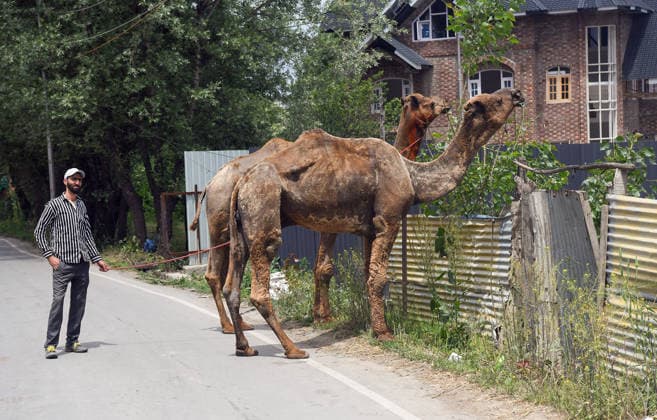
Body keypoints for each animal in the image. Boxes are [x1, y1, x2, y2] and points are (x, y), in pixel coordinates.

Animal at [189, 93, 447, 333]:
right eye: (422, 101)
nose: (444, 105)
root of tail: (210, 184)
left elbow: (327, 266)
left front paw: (319, 315)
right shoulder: (329, 224)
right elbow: (324, 268)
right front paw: (324, 316)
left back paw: (240, 324)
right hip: (222, 222)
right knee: (215, 273)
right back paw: (229, 325)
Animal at [225, 88, 524, 358]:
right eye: (496, 100)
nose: (517, 94)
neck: (413, 176)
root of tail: (241, 183)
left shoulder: (369, 230)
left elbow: (369, 274)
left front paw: (372, 325)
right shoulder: (388, 220)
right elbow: (380, 277)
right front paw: (384, 332)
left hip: (240, 228)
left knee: (233, 284)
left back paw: (244, 346)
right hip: (264, 209)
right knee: (259, 287)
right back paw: (293, 349)